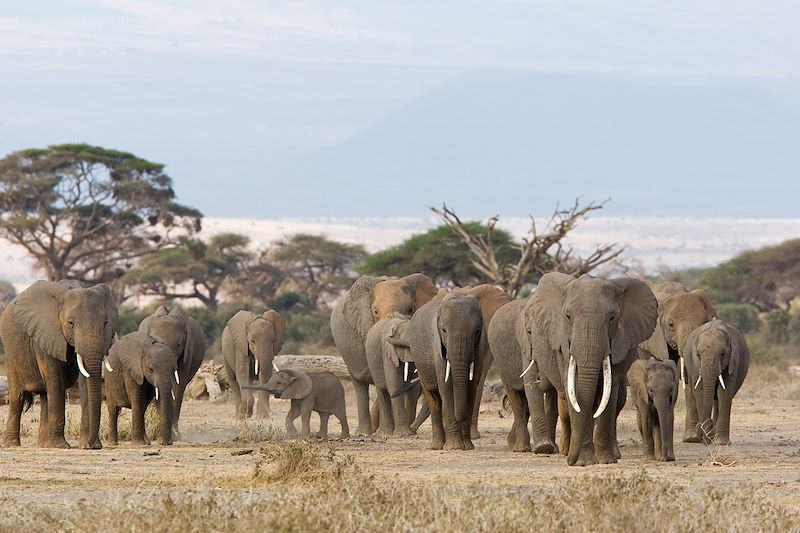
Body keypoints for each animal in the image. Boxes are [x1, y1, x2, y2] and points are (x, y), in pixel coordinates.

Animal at [0, 280, 118, 446]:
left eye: (105, 323)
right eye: (71, 323)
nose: (90, 444)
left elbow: (85, 379)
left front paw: (89, 446)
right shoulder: (45, 335)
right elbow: (56, 381)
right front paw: (60, 446)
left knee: (45, 396)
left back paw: (43, 445)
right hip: (11, 352)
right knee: (18, 395)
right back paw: (12, 444)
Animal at [406, 290, 482, 448]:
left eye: (477, 332)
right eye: (444, 330)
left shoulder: (480, 347)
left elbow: (471, 387)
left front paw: (468, 447)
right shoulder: (437, 347)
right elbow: (446, 387)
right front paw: (455, 447)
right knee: (434, 400)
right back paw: (437, 446)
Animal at [524, 272, 656, 464]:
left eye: (612, 318)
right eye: (568, 316)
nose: (570, 461)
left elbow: (609, 391)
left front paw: (606, 461)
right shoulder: (563, 345)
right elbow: (574, 389)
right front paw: (583, 462)